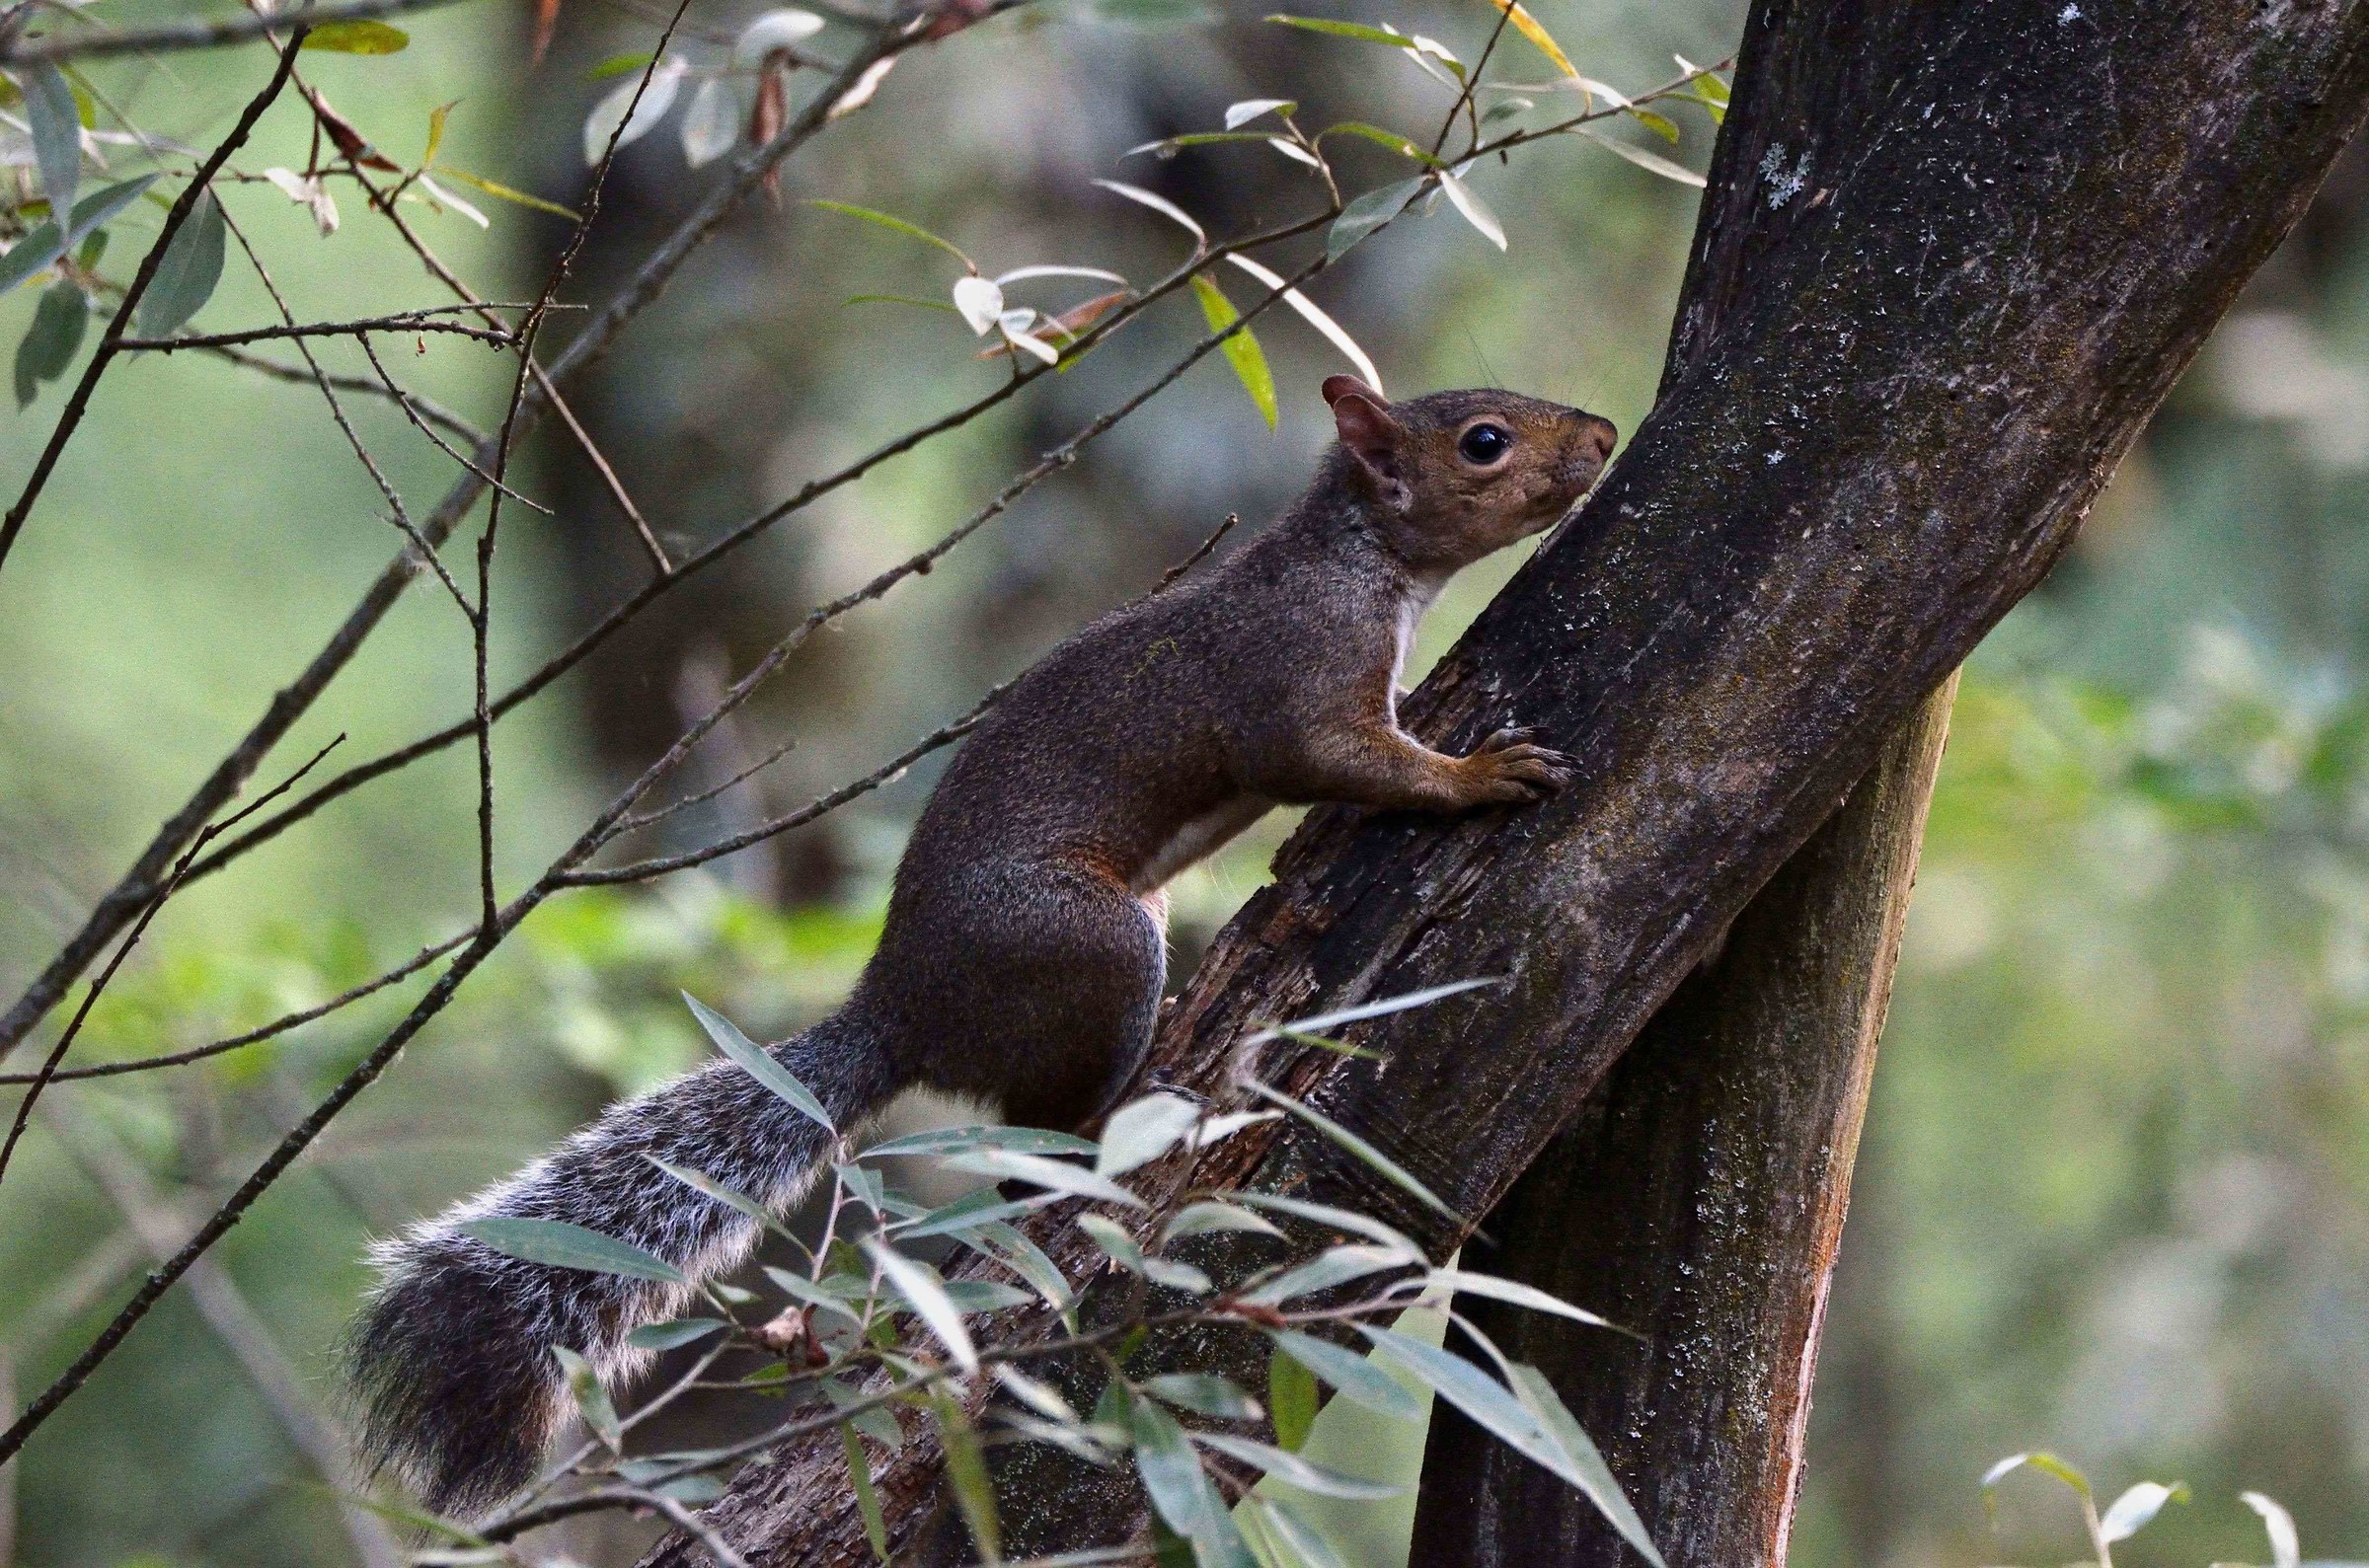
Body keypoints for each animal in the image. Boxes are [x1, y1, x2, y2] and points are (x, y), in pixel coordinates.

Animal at [344, 375, 1618, 1517]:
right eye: (1486, 440)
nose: (1604, 434)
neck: (1358, 559)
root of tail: (904, 1008)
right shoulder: (1296, 676)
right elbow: (1345, 760)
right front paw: (1479, 773)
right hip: (1096, 946)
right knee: (1030, 1140)